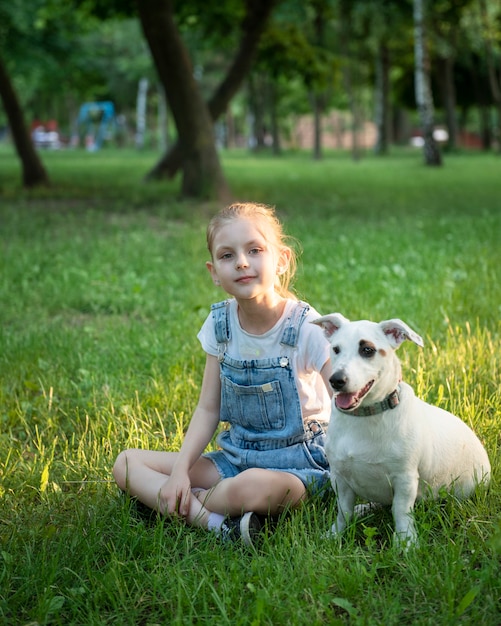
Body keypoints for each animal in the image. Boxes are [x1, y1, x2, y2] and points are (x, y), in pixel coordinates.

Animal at [312, 312, 488, 540]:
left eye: (367, 350)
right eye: (335, 349)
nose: (336, 380)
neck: (365, 416)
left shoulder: (405, 479)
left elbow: (401, 511)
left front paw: (406, 541)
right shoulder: (340, 478)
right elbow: (344, 511)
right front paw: (335, 534)